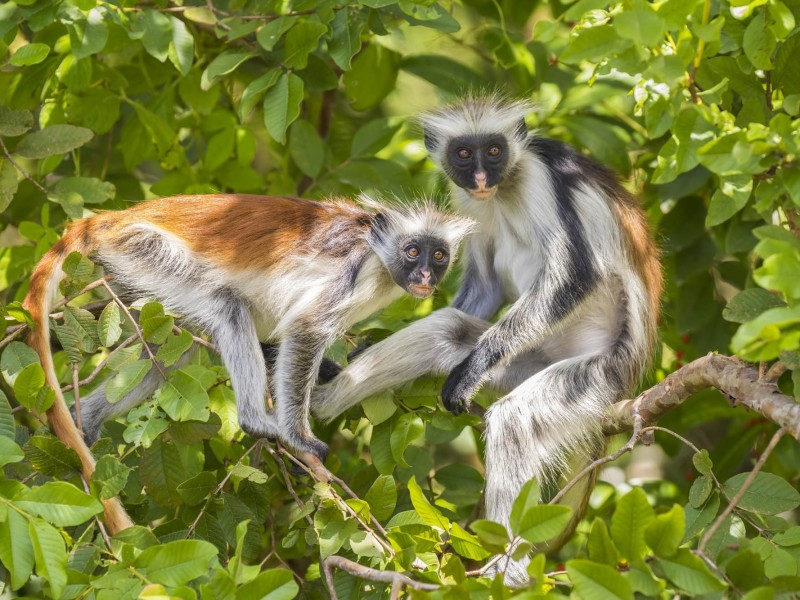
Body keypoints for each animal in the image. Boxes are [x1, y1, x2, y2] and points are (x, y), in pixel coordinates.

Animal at [23, 193, 473, 533]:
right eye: (412, 252)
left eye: (438, 255)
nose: (425, 276)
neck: (377, 252)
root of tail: (116, 217)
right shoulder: (352, 271)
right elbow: (305, 329)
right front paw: (299, 438)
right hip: (144, 249)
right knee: (228, 306)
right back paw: (256, 420)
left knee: (173, 351)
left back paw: (86, 420)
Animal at [310, 97, 662, 585]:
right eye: (464, 154)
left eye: (494, 151)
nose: (480, 178)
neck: (504, 187)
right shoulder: (467, 202)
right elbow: (486, 285)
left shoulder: (540, 176)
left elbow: (576, 275)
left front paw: (472, 370)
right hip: (526, 360)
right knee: (447, 330)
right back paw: (318, 400)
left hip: (598, 372)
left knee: (515, 419)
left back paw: (509, 572)